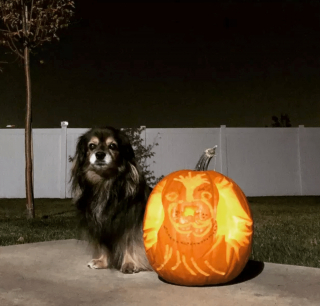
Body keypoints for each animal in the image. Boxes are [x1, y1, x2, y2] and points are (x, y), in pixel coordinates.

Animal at [70, 125, 153, 274]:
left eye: (112, 146)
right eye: (92, 146)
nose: (100, 154)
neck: (105, 184)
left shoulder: (130, 221)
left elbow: (129, 243)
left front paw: (130, 264)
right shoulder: (99, 223)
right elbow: (103, 244)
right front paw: (102, 261)